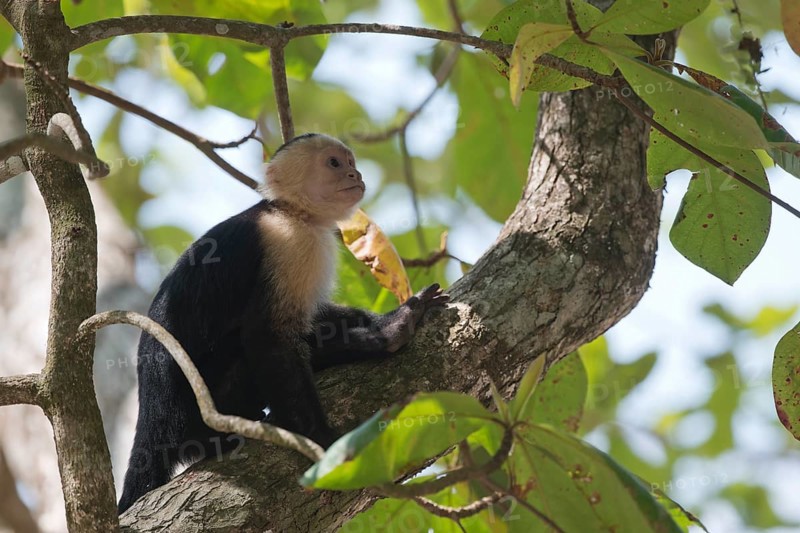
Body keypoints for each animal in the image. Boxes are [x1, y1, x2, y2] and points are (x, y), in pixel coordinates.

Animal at [117, 133, 448, 513]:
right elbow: (267, 336)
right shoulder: (287, 242)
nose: (356, 175)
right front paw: (322, 442)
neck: (292, 211)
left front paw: (383, 318)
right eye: (335, 163)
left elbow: (317, 318)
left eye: (350, 163)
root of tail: (153, 418)